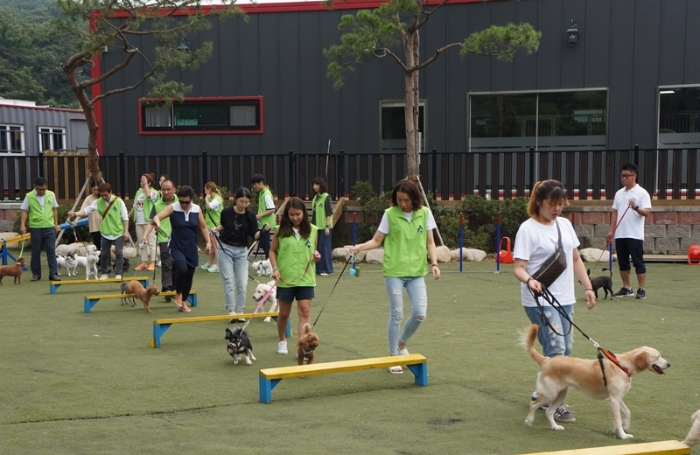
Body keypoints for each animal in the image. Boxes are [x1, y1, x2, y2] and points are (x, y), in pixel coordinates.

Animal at [524, 322, 668, 440]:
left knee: (548, 412)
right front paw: (622, 435)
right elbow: (618, 420)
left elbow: (627, 412)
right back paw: (529, 421)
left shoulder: (616, 397)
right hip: (551, 393)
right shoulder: (613, 399)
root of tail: (547, 360)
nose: (669, 364)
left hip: (561, 394)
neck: (622, 365)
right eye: (658, 356)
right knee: (533, 404)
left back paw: (555, 427)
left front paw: (625, 427)